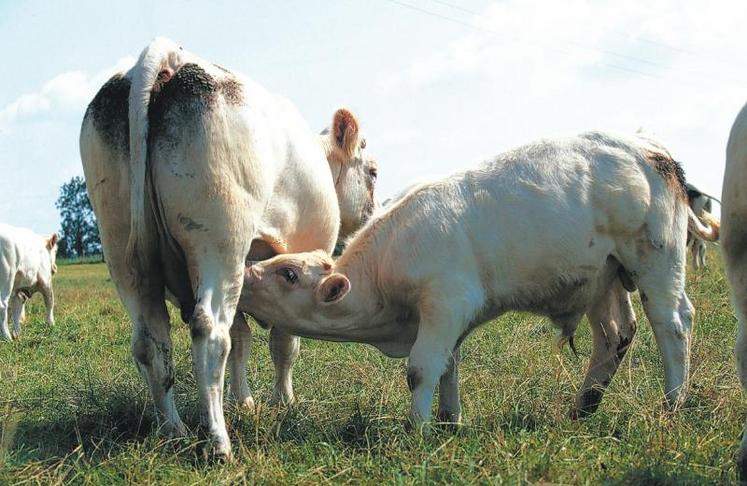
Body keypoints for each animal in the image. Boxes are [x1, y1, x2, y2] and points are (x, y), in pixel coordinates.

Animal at [80, 38, 380, 460]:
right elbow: (282, 342)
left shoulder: (250, 278)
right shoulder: (297, 267)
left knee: (150, 341)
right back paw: (218, 442)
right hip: (219, 242)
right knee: (209, 333)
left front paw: (244, 401)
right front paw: (283, 401)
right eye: (372, 172)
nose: (373, 214)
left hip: (123, 249)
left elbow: (242, 339)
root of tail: (171, 59)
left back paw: (174, 431)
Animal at [243, 130, 720, 430]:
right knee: (615, 334)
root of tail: (650, 148)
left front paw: (418, 429)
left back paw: (672, 403)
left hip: (655, 261)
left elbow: (422, 368)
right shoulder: (447, 320)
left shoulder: (445, 303)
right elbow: (448, 367)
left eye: (288, 274)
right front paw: (449, 421)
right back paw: (583, 408)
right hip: (604, 277)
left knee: (673, 324)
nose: (245, 274)